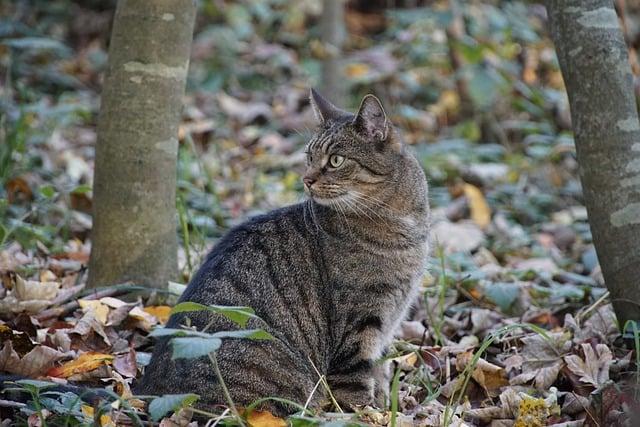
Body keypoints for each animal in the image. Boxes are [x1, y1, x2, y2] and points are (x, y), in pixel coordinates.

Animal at [139, 89, 430, 414]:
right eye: (309, 157)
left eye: (336, 160)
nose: (307, 179)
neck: (403, 224)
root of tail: (150, 395)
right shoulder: (357, 330)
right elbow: (357, 396)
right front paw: (369, 415)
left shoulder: (386, 327)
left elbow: (379, 378)